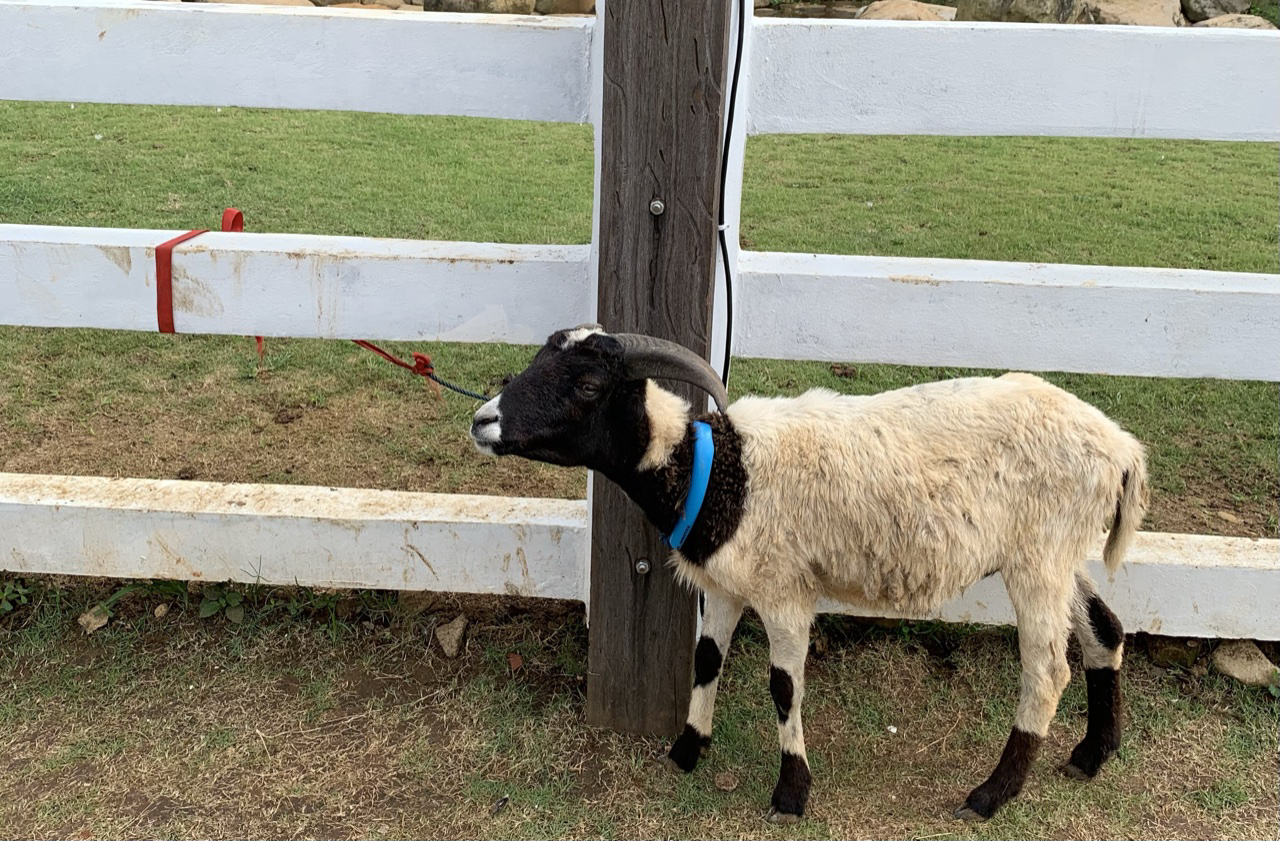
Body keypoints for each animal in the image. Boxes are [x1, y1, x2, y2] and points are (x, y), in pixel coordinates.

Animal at [471, 325, 1152, 824]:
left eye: (589, 384)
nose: (482, 421)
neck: (716, 468)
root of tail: (1122, 450)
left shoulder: (784, 590)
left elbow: (783, 685)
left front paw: (791, 794)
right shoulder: (725, 587)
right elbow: (707, 660)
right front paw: (687, 750)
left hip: (1039, 555)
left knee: (1047, 670)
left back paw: (990, 795)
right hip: (1062, 553)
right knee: (1105, 631)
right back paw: (1093, 754)